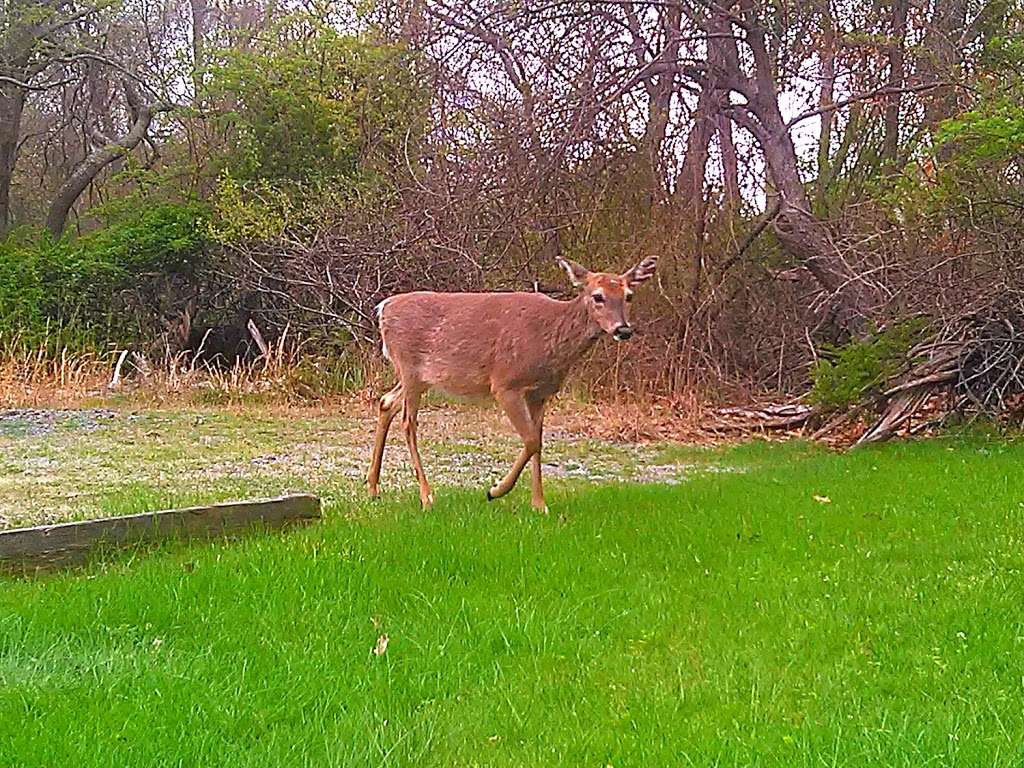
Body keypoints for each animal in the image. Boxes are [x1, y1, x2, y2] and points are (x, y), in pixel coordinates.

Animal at [364, 256, 659, 514]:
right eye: (598, 296)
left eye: (628, 295)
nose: (623, 329)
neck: (551, 339)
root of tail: (383, 308)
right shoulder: (505, 384)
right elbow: (530, 440)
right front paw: (495, 490)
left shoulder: (540, 393)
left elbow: (538, 442)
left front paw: (539, 504)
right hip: (409, 367)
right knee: (408, 423)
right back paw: (426, 497)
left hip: (421, 378)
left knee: (386, 402)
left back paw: (373, 488)